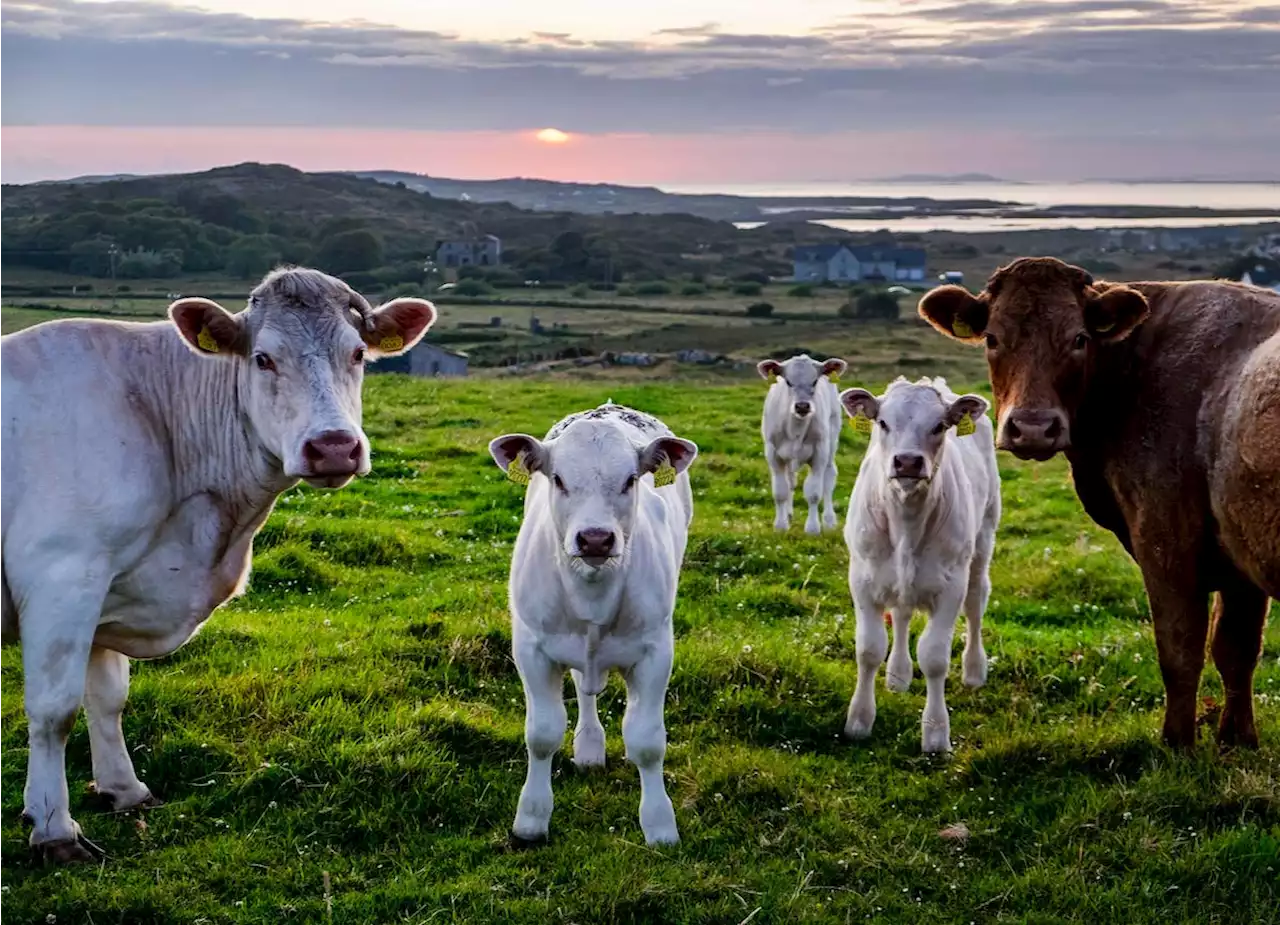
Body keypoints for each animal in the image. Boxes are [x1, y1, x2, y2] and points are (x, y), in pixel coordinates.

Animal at [0, 266, 435, 859]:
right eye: (263, 359)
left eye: (359, 354)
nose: (334, 446)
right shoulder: (63, 573)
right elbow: (54, 711)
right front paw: (53, 829)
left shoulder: (106, 586)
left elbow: (107, 698)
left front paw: (124, 789)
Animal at [486, 404, 701, 844]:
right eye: (558, 479)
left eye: (631, 479)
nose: (596, 538)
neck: (592, 595)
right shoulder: (531, 648)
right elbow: (542, 735)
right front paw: (532, 818)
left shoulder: (656, 651)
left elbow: (647, 741)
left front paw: (659, 823)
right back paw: (588, 746)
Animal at [757, 358, 849, 539]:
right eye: (787, 381)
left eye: (814, 381)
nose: (802, 406)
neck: (795, 429)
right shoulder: (773, 454)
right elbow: (781, 491)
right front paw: (780, 525)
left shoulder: (820, 453)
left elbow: (813, 493)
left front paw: (813, 528)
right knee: (791, 482)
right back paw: (788, 514)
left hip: (832, 441)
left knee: (829, 479)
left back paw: (829, 521)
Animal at [839, 373, 998, 752]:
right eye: (882, 422)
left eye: (940, 425)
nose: (908, 462)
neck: (906, 521)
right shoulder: (862, 580)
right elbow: (869, 649)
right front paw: (859, 720)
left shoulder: (951, 586)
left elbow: (935, 657)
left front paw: (936, 733)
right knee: (901, 613)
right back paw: (898, 675)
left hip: (983, 541)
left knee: (976, 605)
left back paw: (974, 671)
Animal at [921, 257, 1280, 747]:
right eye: (992, 338)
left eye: (1079, 338)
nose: (1033, 428)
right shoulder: (1238, 555)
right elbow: (1236, 650)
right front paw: (1237, 740)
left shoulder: (1165, 539)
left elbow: (1180, 650)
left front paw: (1177, 744)